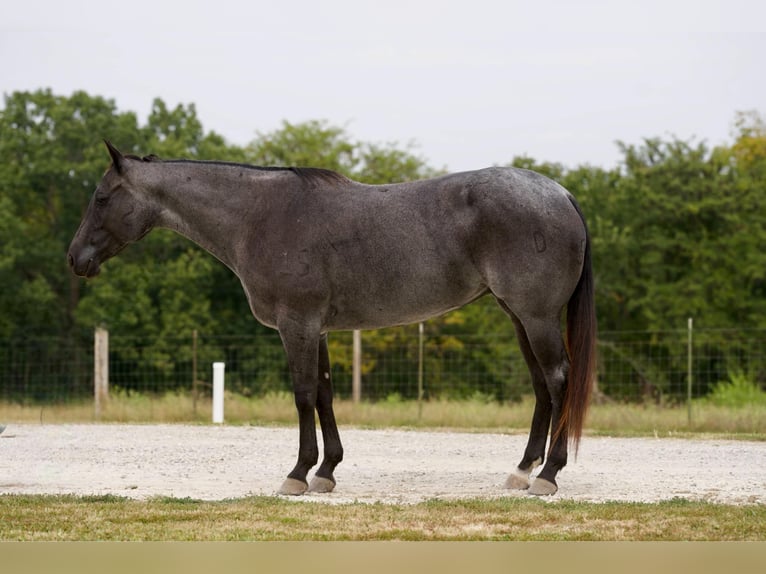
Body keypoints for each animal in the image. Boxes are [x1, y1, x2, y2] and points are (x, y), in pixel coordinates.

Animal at [68, 140, 597, 496]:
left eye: (101, 198)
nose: (75, 258)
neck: (259, 216)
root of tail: (560, 193)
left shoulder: (296, 325)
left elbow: (303, 395)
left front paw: (298, 474)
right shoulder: (315, 328)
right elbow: (323, 393)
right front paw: (326, 471)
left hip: (536, 316)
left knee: (558, 379)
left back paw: (548, 475)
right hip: (519, 316)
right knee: (541, 385)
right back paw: (523, 470)